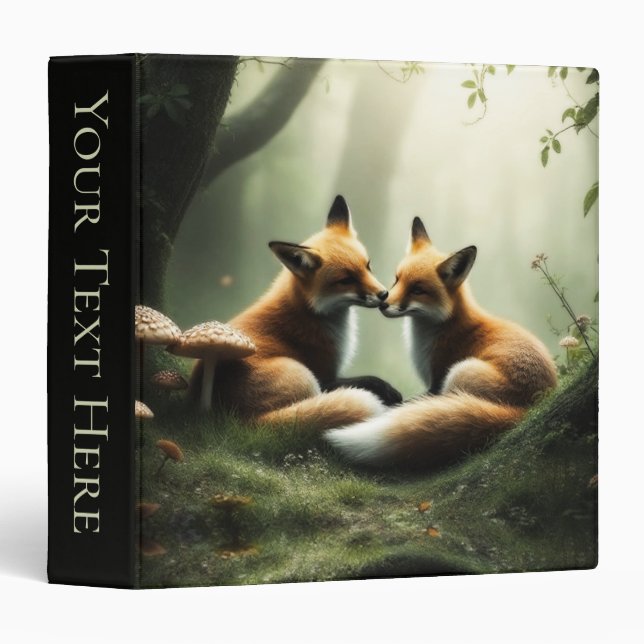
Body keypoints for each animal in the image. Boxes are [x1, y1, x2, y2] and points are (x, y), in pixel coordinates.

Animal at [189, 196, 401, 431]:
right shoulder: (325, 374)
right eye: (346, 280)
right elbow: (367, 380)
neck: (310, 311)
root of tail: (241, 421)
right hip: (305, 376)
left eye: (368, 266)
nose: (384, 294)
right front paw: (387, 390)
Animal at [326, 216, 557, 467]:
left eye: (417, 290)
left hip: (460, 372)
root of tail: (527, 410)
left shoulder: (436, 380)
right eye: (398, 279)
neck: (443, 326)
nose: (383, 303)